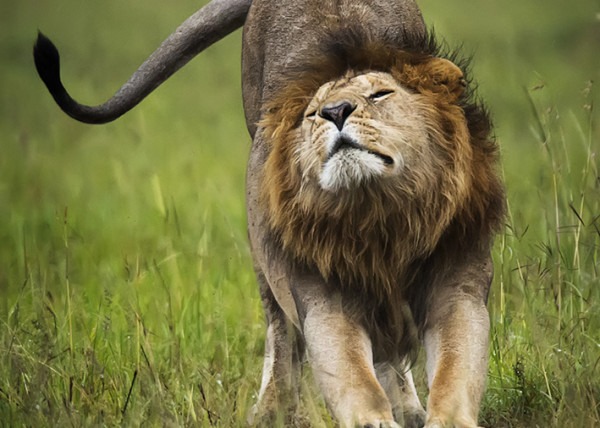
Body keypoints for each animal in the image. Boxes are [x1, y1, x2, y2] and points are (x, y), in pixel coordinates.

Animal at [31, 0, 502, 428]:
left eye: (380, 94)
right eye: (313, 114)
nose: (335, 112)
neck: (380, 218)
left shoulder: (457, 291)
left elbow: (455, 374)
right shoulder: (324, 302)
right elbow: (354, 380)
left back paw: (407, 408)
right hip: (264, 250)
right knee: (281, 334)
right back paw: (273, 411)